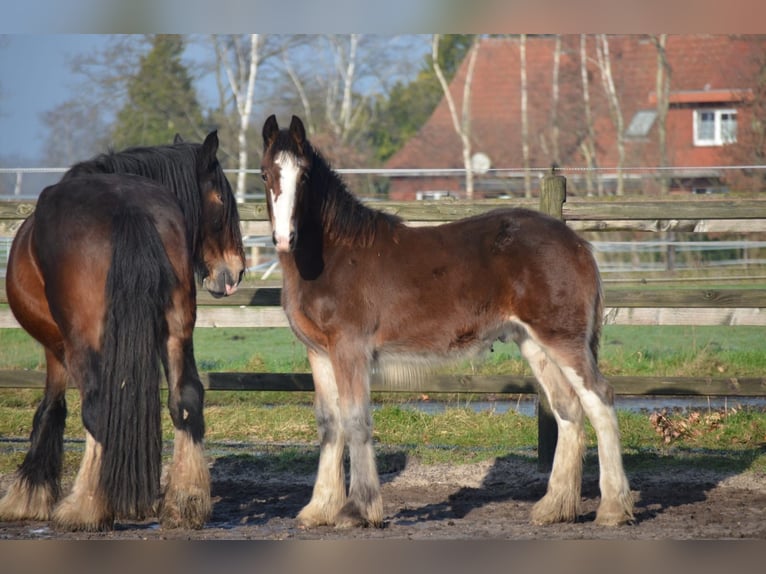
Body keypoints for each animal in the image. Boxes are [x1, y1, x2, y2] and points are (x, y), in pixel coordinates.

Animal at [0, 130, 246, 532]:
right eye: (222, 199)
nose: (235, 271)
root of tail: (129, 209)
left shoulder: (56, 348)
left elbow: (51, 407)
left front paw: (28, 494)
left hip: (84, 342)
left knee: (97, 407)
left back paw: (86, 506)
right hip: (177, 327)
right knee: (186, 397)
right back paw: (185, 501)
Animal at [260, 116, 632, 532]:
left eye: (304, 175)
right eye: (264, 174)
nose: (284, 238)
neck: (334, 256)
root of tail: (578, 244)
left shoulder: (350, 350)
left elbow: (355, 421)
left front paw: (358, 510)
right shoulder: (319, 353)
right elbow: (329, 424)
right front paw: (320, 508)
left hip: (563, 340)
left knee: (600, 399)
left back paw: (613, 509)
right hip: (534, 342)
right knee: (568, 408)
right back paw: (554, 508)